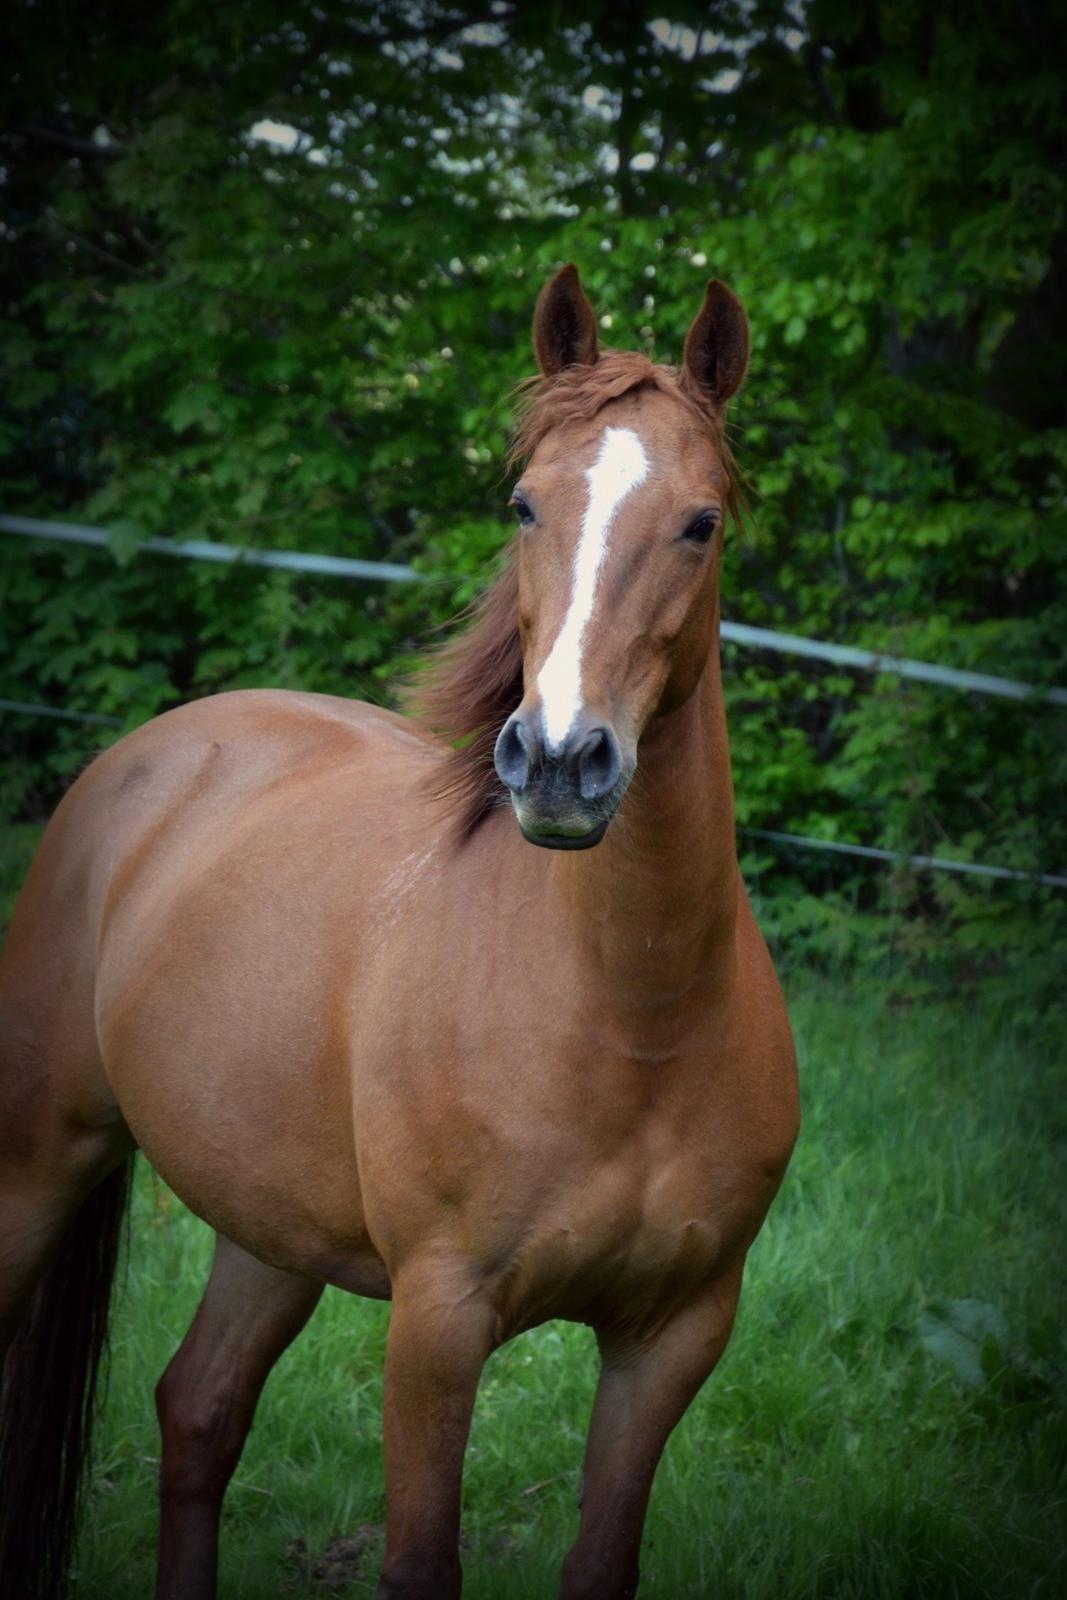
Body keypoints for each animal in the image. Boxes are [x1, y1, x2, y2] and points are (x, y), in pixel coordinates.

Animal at [0, 268, 799, 1593]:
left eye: (699, 524)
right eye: (524, 503)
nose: (561, 762)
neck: (628, 1024)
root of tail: (144, 757)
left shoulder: (674, 1335)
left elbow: (600, 1562)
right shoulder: (439, 1319)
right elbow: (421, 1561)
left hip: (266, 1227)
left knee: (198, 1412)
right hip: (40, 1161)